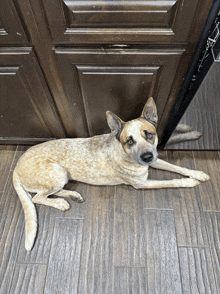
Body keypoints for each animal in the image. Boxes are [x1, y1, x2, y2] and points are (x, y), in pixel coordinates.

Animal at [12, 97, 210, 249]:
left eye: (149, 134)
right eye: (129, 141)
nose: (147, 157)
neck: (123, 152)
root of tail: (16, 167)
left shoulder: (155, 159)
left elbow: (176, 168)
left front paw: (197, 173)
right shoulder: (142, 183)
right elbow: (172, 181)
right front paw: (189, 181)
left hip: (62, 176)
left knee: (47, 193)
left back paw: (72, 195)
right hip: (57, 173)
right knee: (37, 198)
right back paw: (59, 203)